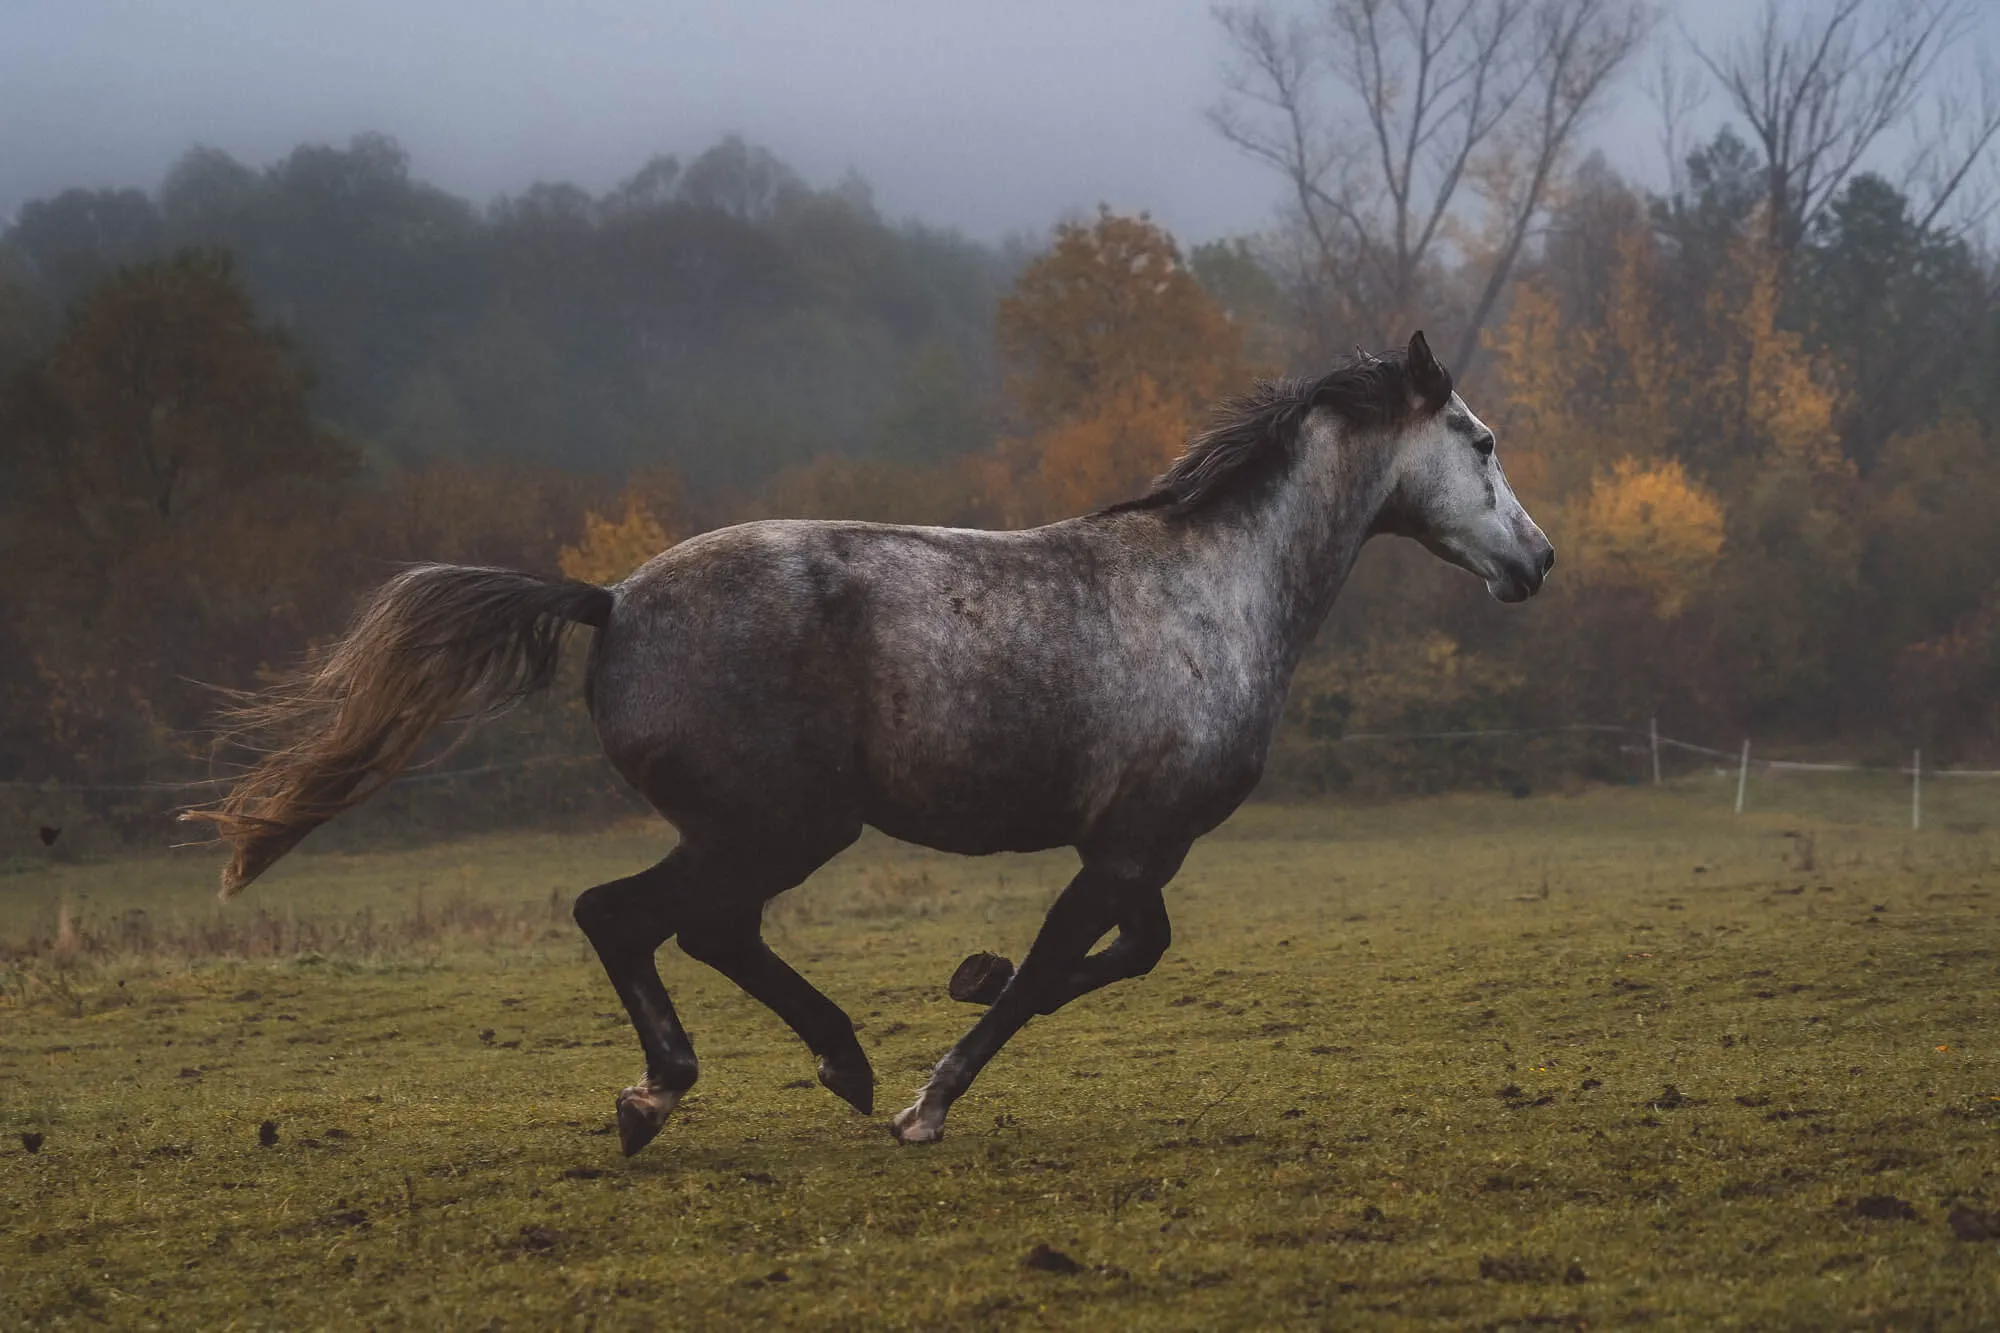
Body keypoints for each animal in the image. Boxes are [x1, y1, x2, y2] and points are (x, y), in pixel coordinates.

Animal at [184, 331, 1552, 1155]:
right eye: (1480, 441)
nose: (1537, 561)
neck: (1212, 593)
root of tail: (611, 601)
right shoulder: (1128, 844)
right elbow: (1068, 966)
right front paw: (927, 1101)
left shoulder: (1132, 851)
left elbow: (1116, 958)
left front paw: (967, 978)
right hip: (777, 823)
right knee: (634, 916)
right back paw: (676, 1090)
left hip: (761, 829)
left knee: (689, 927)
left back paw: (804, 1066)